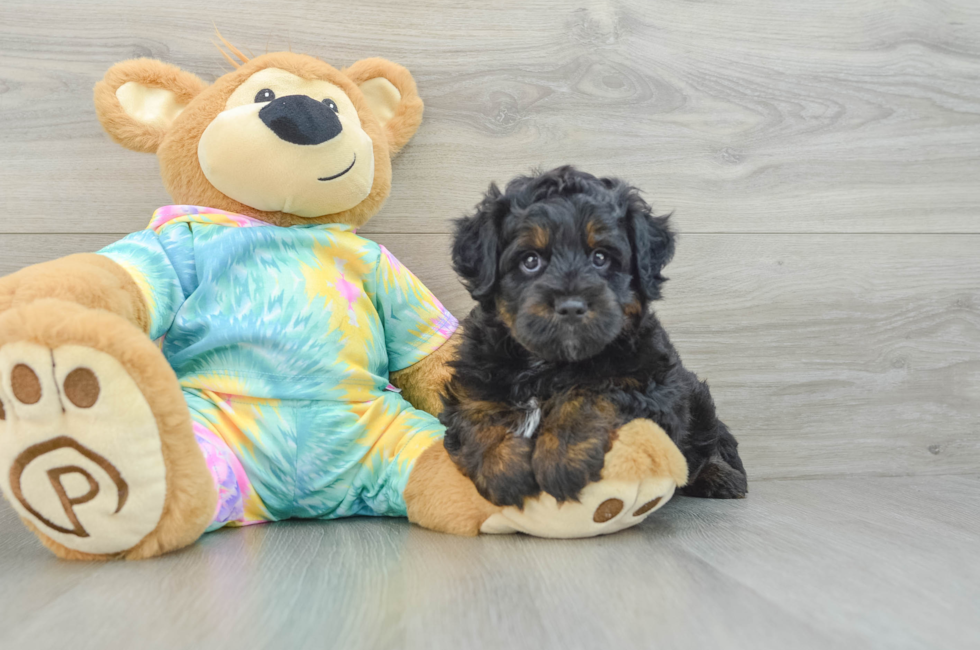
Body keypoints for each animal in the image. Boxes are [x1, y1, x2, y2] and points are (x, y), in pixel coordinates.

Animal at [440, 163, 748, 506]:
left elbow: (593, 393)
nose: (571, 306)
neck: (550, 364)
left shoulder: (654, 386)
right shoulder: (474, 379)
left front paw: (562, 455)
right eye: (530, 261)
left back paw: (721, 476)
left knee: (707, 444)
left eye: (600, 257)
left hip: (696, 399)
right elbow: (477, 411)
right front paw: (503, 468)